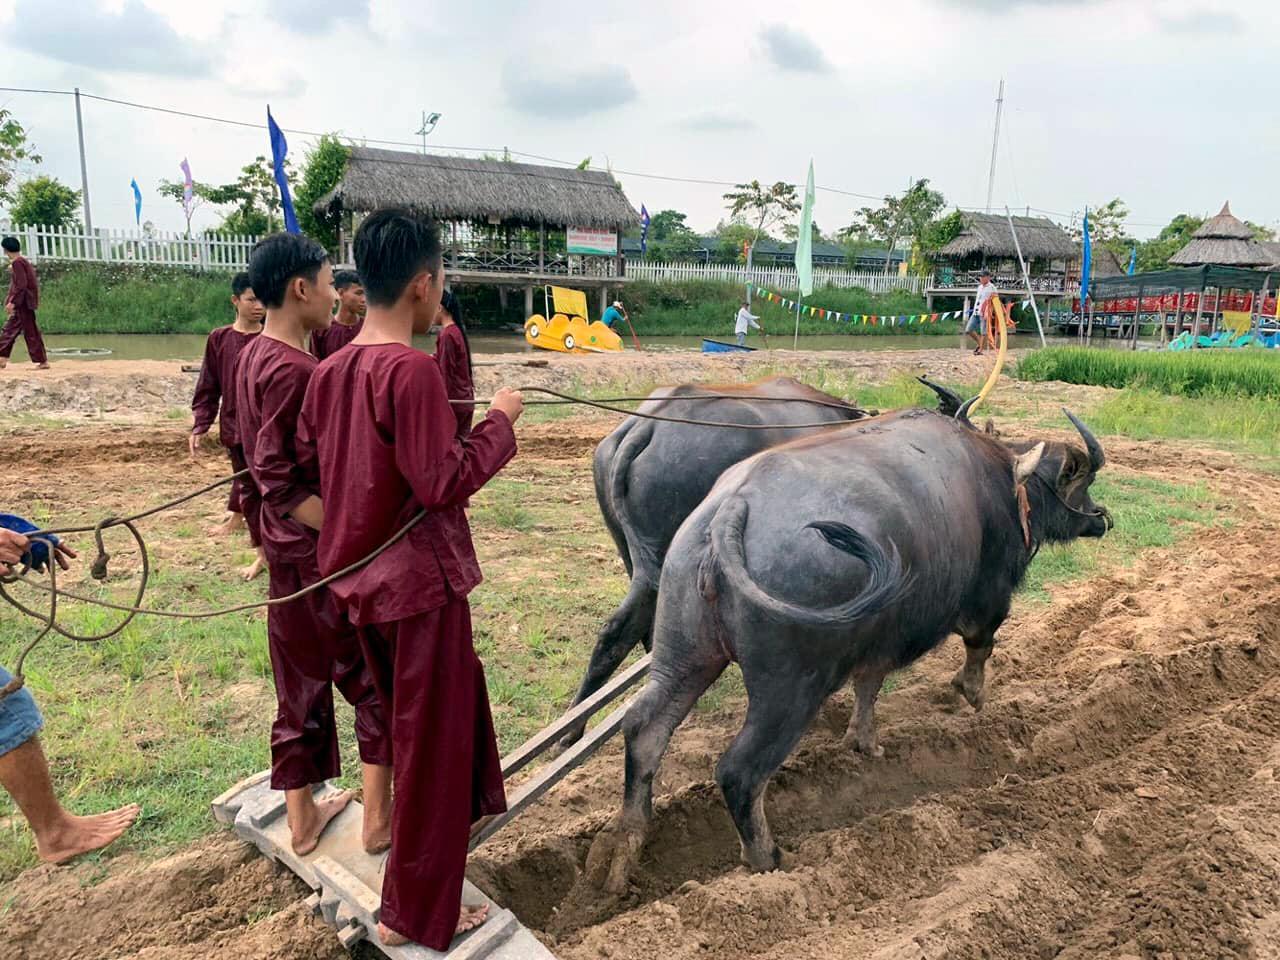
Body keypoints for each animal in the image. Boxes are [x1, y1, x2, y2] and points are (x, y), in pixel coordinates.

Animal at [588, 404, 1111, 885]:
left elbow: (870, 683)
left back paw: (626, 849)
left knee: (644, 729)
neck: (997, 480)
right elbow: (980, 646)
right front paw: (973, 695)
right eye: (1078, 481)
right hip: (790, 688)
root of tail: (730, 510)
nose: (1102, 519)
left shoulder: (880, 635)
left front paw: (864, 741)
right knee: (739, 771)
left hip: (683, 653)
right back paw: (767, 858)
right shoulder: (988, 596)